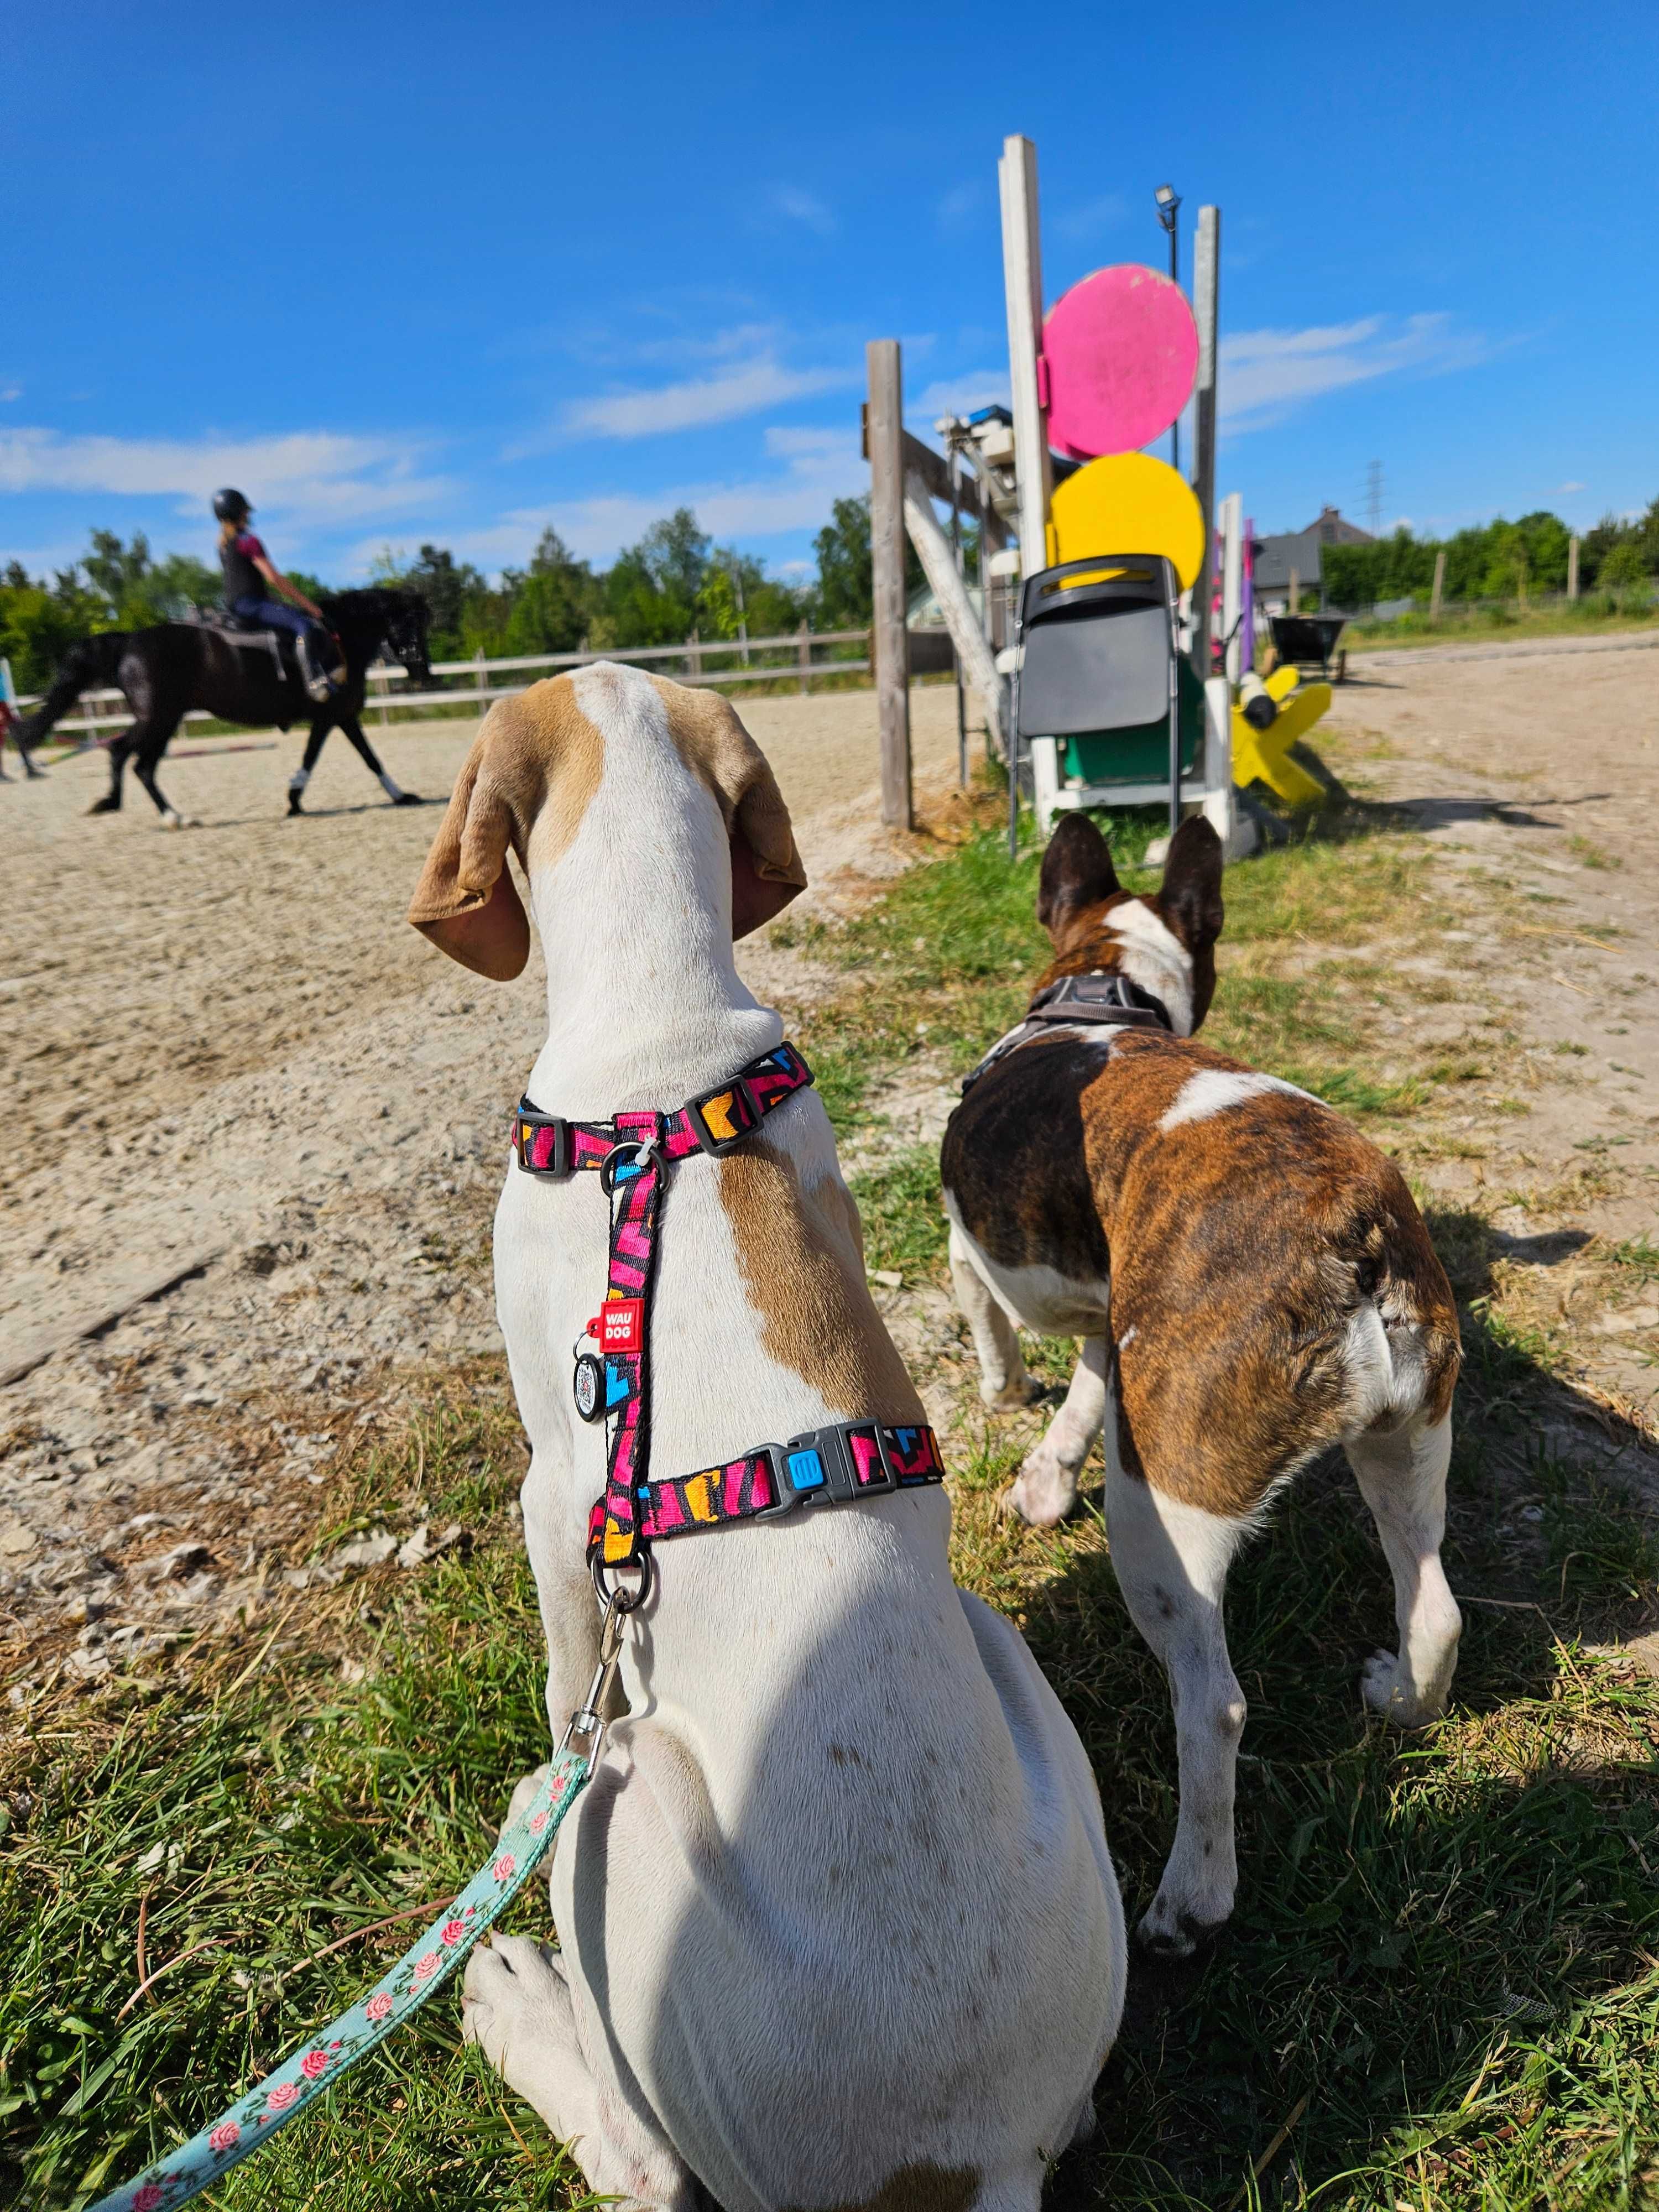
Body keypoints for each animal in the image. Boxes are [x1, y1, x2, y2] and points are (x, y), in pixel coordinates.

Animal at [11, 584, 436, 827]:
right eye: (410, 623)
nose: (423, 671)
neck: (338, 638)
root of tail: (130, 641)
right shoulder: (334, 716)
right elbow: (354, 757)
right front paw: (296, 799)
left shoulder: (335, 718)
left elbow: (347, 758)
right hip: (158, 719)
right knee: (130, 757)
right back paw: (166, 815)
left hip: (162, 720)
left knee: (132, 759)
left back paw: (131, 807)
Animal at [405, 664, 1133, 2212]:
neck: (661, 1043)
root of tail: (974, 2152)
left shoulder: (553, 1495)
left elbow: (561, 1669)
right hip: (1006, 1654)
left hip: (627, 1806)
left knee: (647, 2161)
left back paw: (516, 1993)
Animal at [942, 814, 1460, 1955]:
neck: (1103, 991)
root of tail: (1351, 1235)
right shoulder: (1114, 1322)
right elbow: (1088, 1395)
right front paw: (1046, 1476)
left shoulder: (974, 1258)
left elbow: (1000, 1340)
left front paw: (1005, 1403)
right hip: (1408, 1440)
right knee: (1434, 1596)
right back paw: (1403, 1697)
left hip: (1163, 1507)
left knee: (1214, 1704)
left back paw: (1190, 1897)